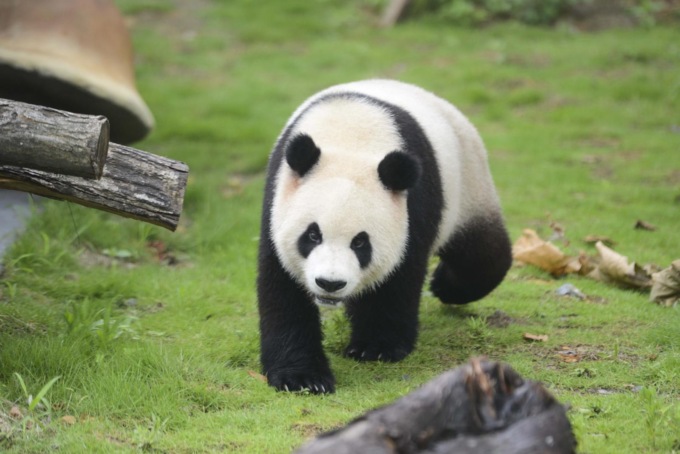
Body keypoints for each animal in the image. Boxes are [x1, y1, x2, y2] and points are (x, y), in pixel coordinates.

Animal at [257, 79, 512, 394]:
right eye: (313, 235)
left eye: (360, 242)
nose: (330, 283)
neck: (350, 131)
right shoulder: (278, 202)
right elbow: (282, 289)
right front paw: (303, 378)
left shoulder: (413, 205)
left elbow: (397, 279)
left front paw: (376, 347)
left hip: (468, 185)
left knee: (481, 252)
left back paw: (444, 284)